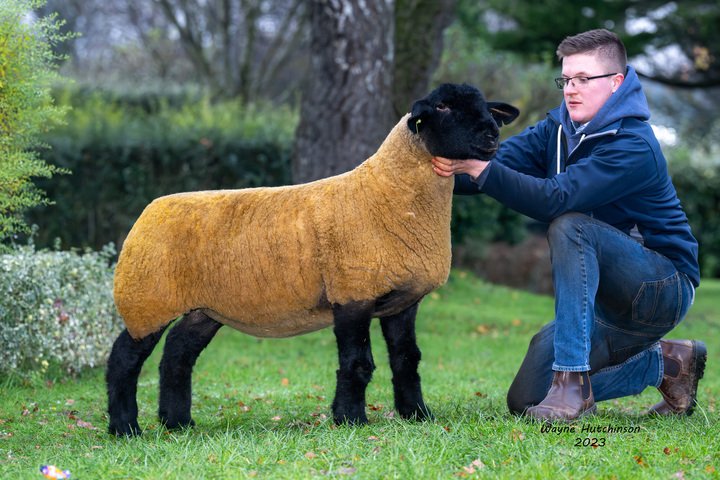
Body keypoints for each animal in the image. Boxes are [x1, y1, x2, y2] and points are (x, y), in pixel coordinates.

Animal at [105, 83, 516, 438]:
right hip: (146, 299)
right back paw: (125, 428)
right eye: (443, 107)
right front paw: (350, 419)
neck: (389, 191)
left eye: (485, 107)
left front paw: (417, 415)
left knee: (177, 355)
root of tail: (150, 210)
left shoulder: (403, 301)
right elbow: (357, 362)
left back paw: (177, 422)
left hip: (203, 309)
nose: (491, 135)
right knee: (124, 360)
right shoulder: (351, 292)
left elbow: (407, 360)